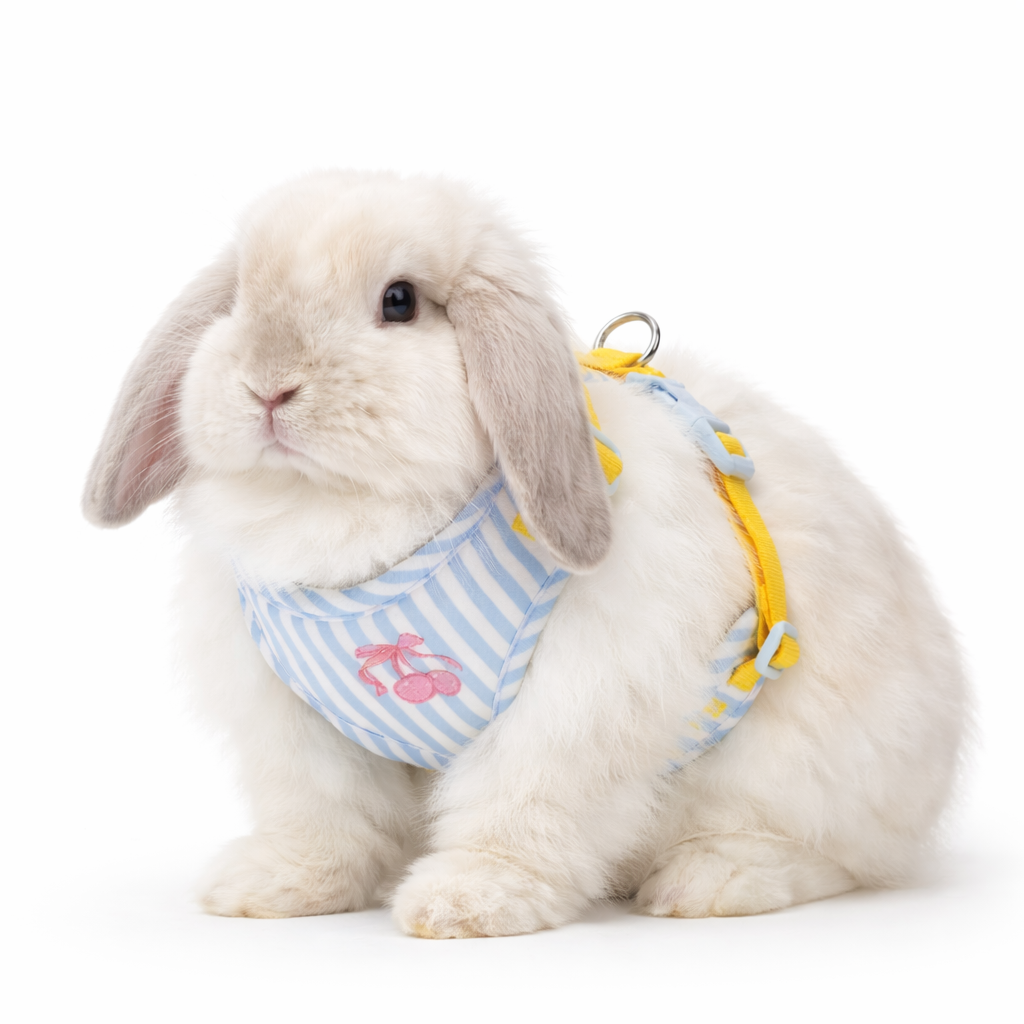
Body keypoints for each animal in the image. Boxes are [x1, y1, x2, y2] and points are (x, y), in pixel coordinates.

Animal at [83, 170, 968, 937]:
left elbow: (519, 803)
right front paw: (273, 886)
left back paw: (711, 879)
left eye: (399, 301)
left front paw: (468, 902)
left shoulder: (575, 704)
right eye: (235, 300)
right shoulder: (294, 724)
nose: (268, 386)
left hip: (801, 768)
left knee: (830, 854)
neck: (337, 516)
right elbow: (322, 812)